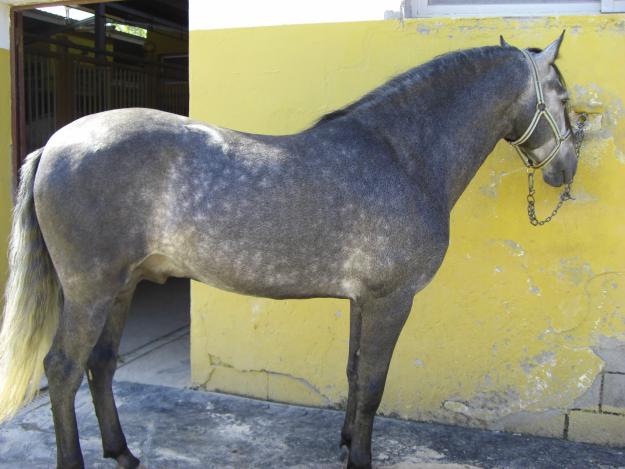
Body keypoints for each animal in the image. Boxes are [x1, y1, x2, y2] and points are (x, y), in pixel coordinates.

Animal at [0, 33, 576, 468]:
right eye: (565, 98)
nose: (566, 170)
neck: (402, 156)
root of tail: (55, 144)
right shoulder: (391, 301)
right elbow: (374, 384)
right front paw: (359, 459)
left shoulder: (362, 300)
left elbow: (354, 374)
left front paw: (345, 444)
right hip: (89, 291)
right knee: (63, 370)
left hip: (121, 286)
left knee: (100, 365)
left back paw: (123, 454)